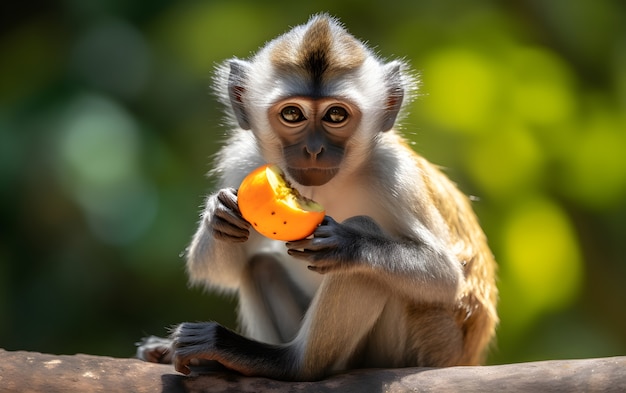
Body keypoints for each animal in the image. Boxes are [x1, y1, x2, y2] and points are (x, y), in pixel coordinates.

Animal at [136, 13, 498, 382]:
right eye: (292, 114)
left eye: (336, 115)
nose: (313, 150)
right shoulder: (244, 161)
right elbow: (215, 272)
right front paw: (220, 214)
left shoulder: (394, 173)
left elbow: (444, 277)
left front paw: (349, 245)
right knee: (260, 266)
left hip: (427, 342)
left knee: (366, 264)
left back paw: (287, 363)